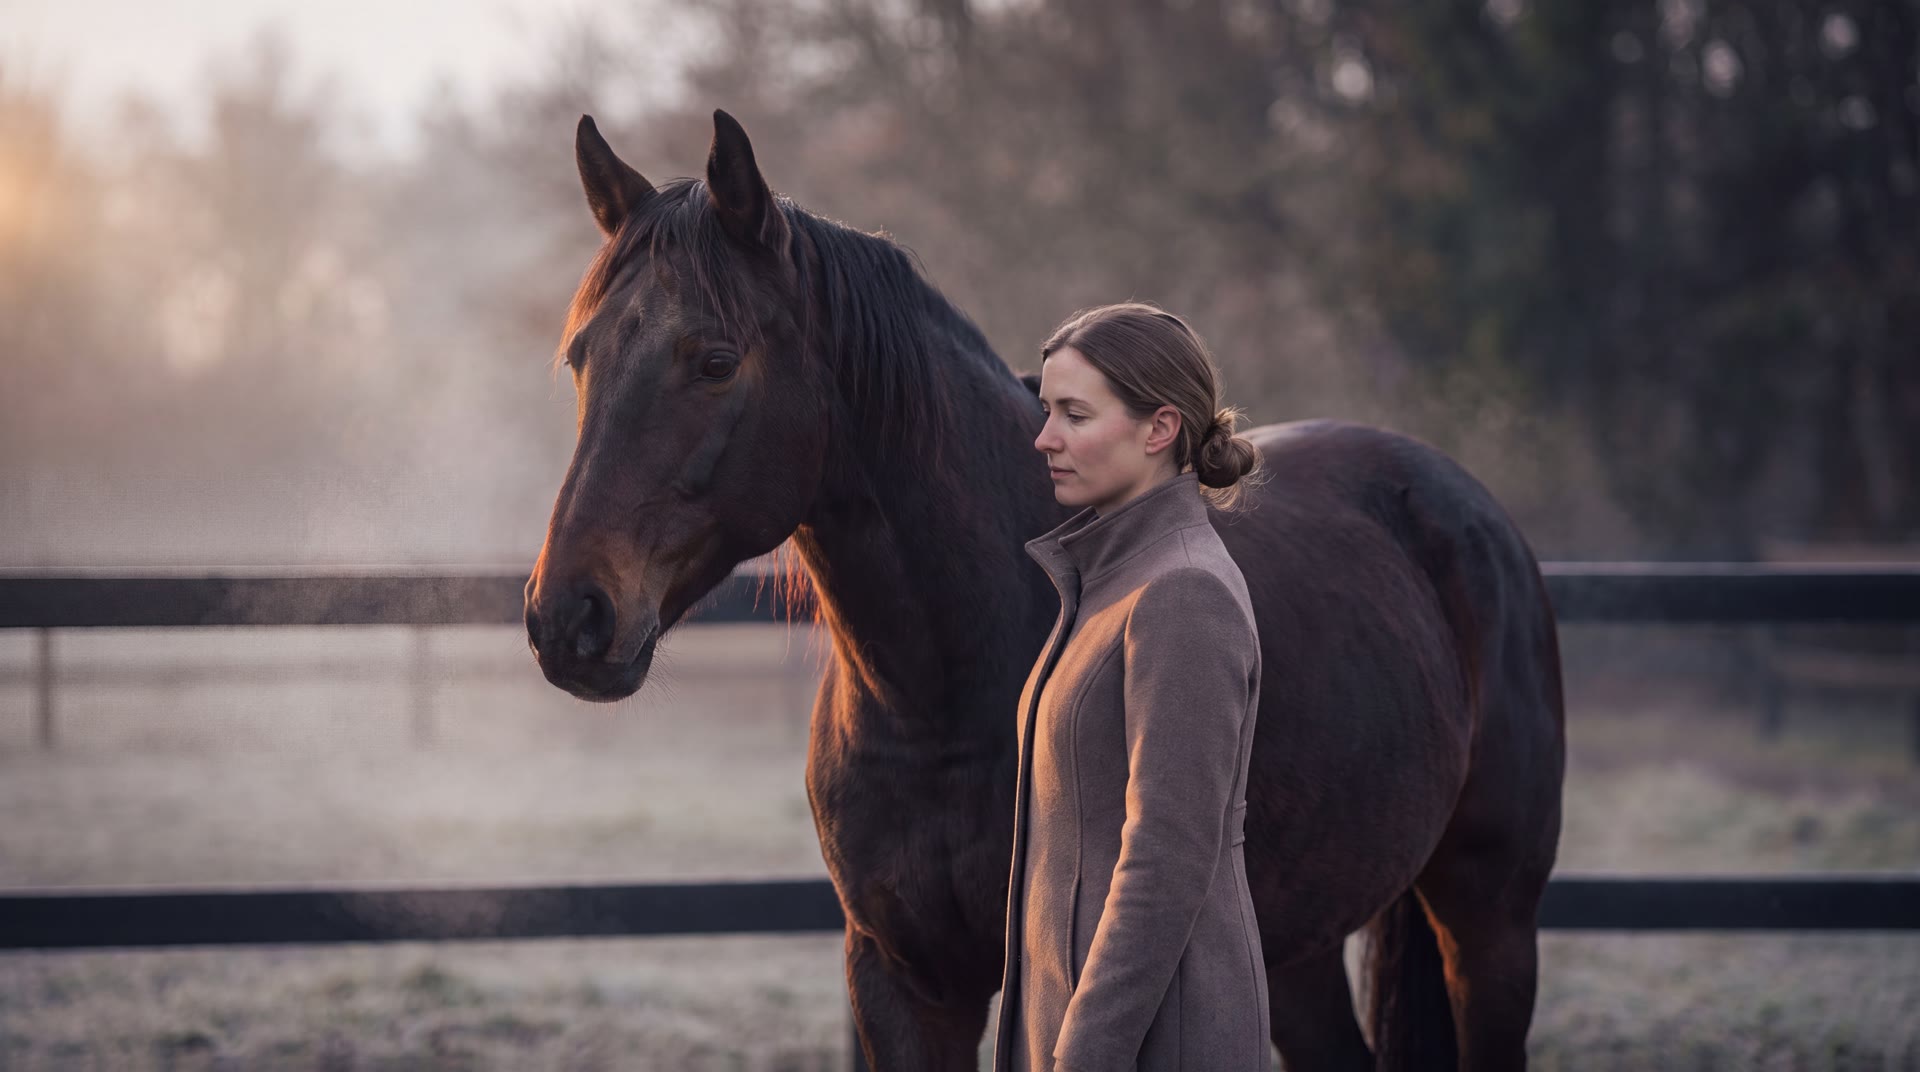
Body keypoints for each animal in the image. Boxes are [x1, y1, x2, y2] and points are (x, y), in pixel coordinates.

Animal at [524, 109, 1566, 1072]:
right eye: (580, 359)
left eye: (714, 360)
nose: (567, 618)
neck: (940, 699)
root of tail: (1456, 502)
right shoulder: (905, 981)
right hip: (1296, 945)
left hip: (1488, 921)